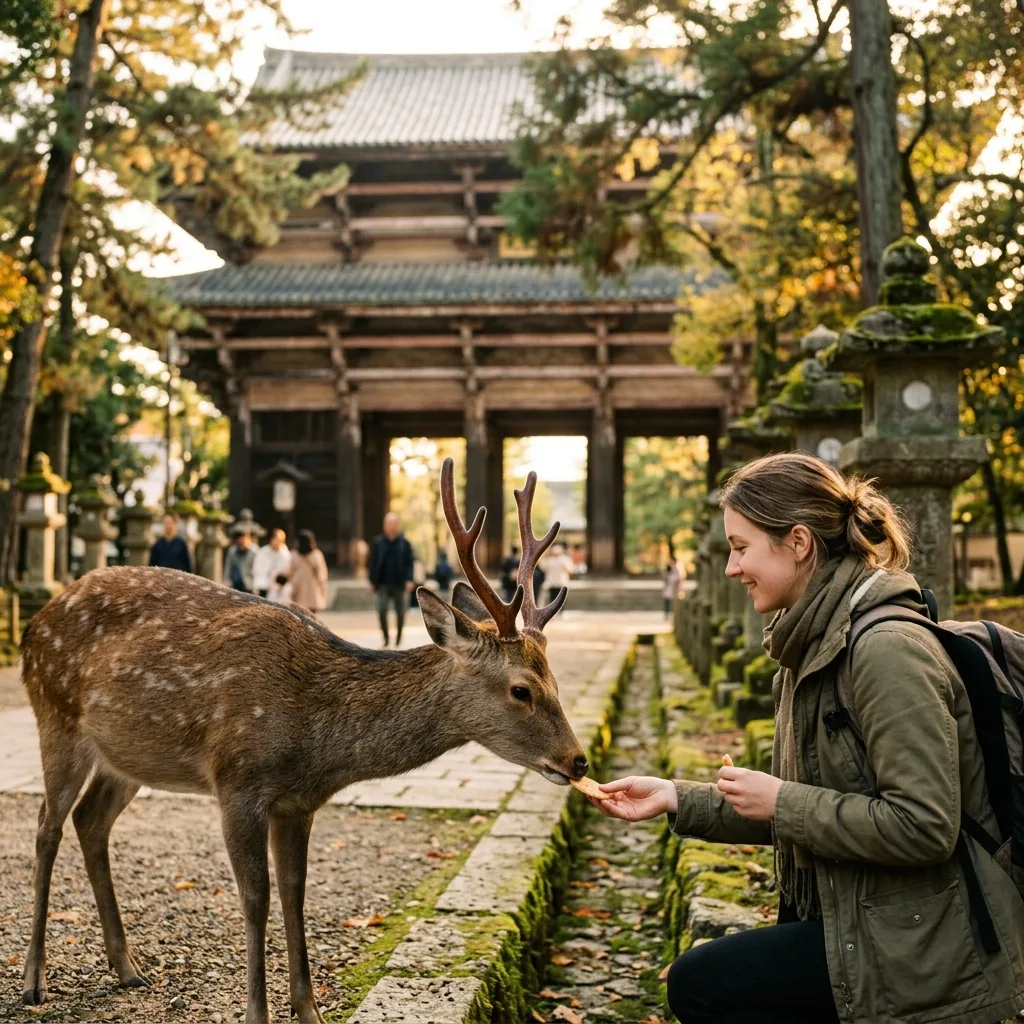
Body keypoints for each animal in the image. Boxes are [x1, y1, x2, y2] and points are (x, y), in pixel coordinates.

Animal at [19, 458, 588, 1024]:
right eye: (522, 689)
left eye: (556, 681)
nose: (578, 760)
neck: (316, 742)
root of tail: (34, 624)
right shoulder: (237, 780)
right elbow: (256, 897)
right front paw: (257, 1012)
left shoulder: (298, 802)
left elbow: (295, 893)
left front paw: (308, 1008)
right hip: (55, 716)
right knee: (47, 827)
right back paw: (33, 980)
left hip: (127, 758)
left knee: (90, 821)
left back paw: (128, 968)